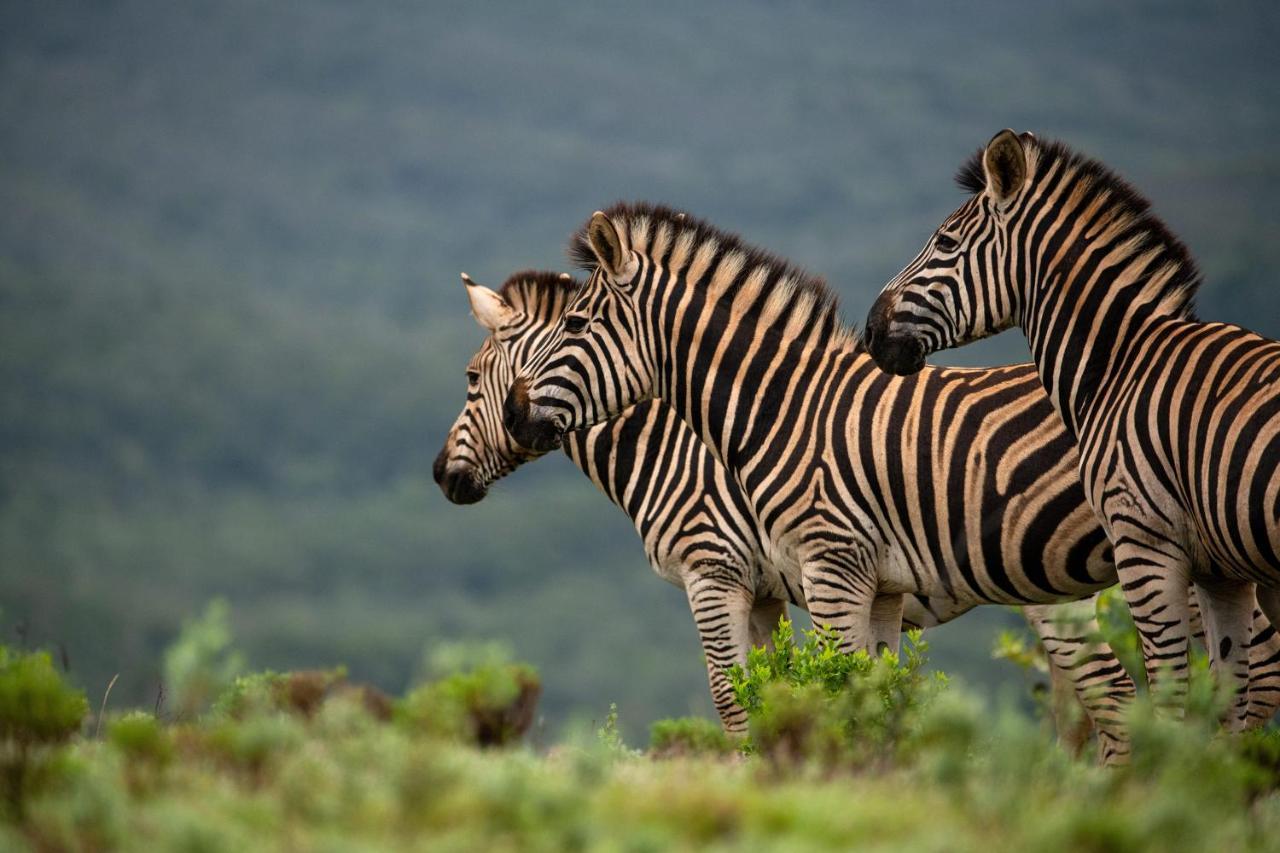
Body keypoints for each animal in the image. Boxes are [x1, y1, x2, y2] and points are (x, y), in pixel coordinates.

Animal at [440, 268, 1141, 753]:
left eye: (472, 379)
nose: (441, 477)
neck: (674, 442)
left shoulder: (713, 569)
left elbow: (735, 702)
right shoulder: (762, 590)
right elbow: (772, 694)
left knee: (1111, 697)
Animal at [860, 129, 1280, 727]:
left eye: (944, 243)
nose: (870, 330)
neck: (1123, 362)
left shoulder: (1146, 546)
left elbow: (1171, 697)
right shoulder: (1219, 569)